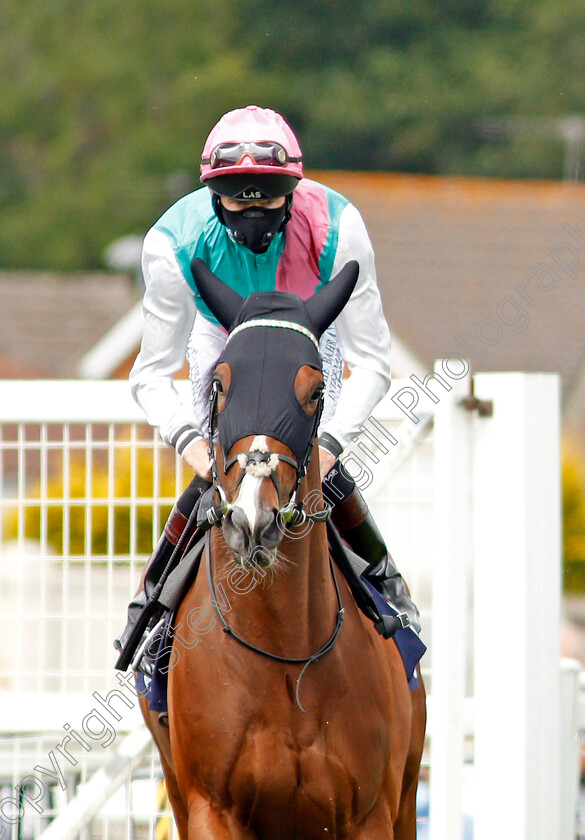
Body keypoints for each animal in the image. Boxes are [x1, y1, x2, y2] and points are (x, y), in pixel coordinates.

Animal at [139, 260, 426, 836]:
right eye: (219, 384)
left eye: (315, 390)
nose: (254, 519)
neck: (285, 651)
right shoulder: (210, 808)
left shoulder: (371, 813)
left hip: (407, 796)